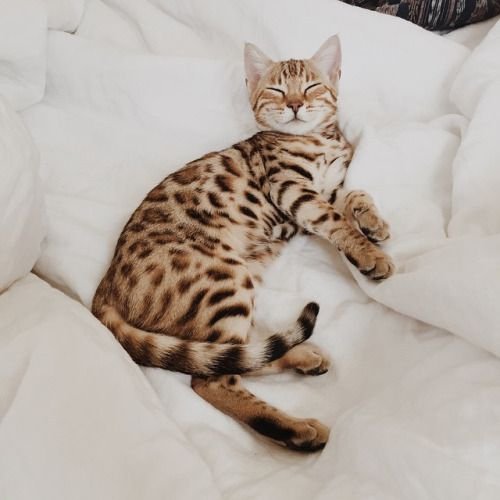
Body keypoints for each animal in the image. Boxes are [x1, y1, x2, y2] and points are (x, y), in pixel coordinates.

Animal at [91, 33, 394, 452]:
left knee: (233, 355)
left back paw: (302, 358)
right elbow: (336, 221)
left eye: (312, 87)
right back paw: (297, 430)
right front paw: (368, 253)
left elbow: (356, 195)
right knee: (213, 377)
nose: (295, 105)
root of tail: (107, 284)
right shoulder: (294, 192)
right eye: (276, 90)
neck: (317, 141)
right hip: (223, 280)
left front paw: (373, 223)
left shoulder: (328, 189)